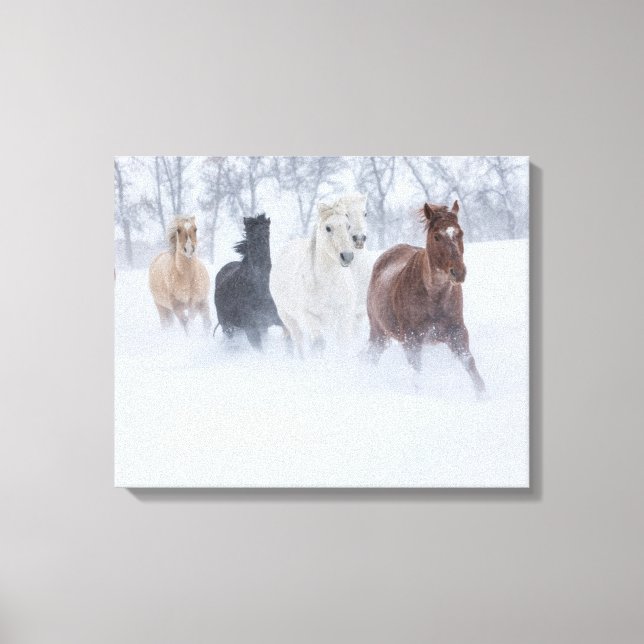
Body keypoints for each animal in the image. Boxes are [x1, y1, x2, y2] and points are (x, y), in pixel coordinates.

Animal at [214, 213, 282, 350]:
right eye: (251, 233)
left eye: (267, 231)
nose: (261, 245)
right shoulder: (251, 329)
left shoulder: (271, 321)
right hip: (227, 327)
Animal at [270, 201, 357, 357]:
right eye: (328, 228)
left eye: (348, 226)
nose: (347, 256)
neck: (329, 283)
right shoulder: (309, 316)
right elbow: (318, 344)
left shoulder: (344, 314)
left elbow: (343, 344)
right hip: (288, 318)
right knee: (299, 341)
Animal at [366, 200, 485, 394]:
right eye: (436, 236)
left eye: (460, 233)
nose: (458, 272)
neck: (434, 297)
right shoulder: (412, 339)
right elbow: (417, 373)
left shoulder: (457, 332)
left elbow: (470, 364)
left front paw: (483, 394)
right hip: (379, 332)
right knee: (369, 356)